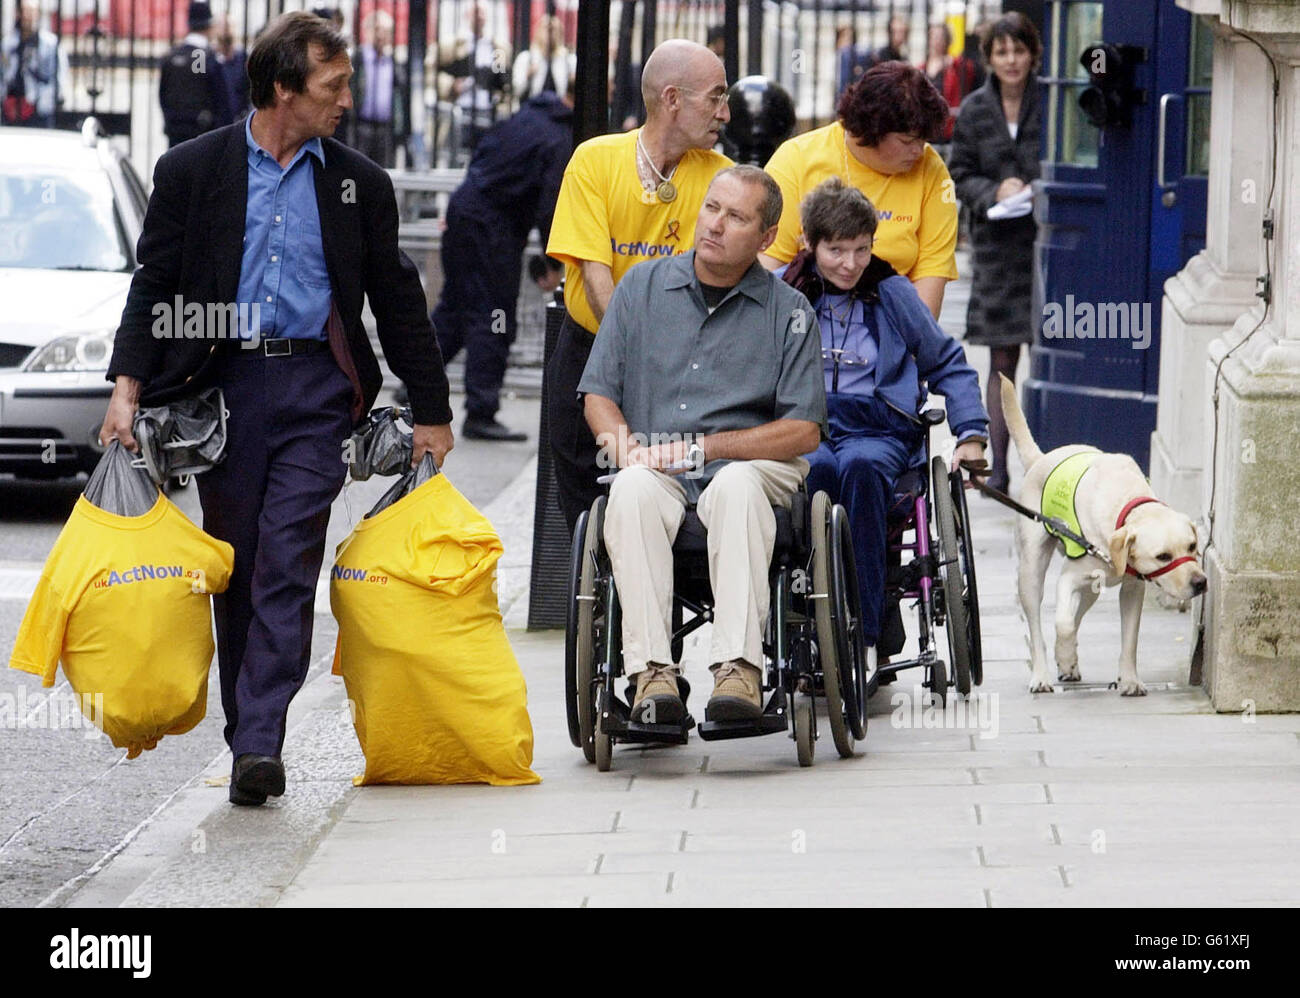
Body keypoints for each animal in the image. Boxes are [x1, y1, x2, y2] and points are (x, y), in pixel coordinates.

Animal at [1003, 374, 1206, 696]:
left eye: (1192, 546)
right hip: (1031, 572)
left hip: (1092, 588)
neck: (1127, 503)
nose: (1201, 582)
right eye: (1163, 556)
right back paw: (1043, 674)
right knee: (1038, 626)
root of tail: (1041, 458)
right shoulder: (1068, 579)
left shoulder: (1133, 589)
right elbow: (1062, 623)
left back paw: (1068, 663)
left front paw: (1129, 679)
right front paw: (1064, 653)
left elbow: (1129, 639)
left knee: (1079, 611)